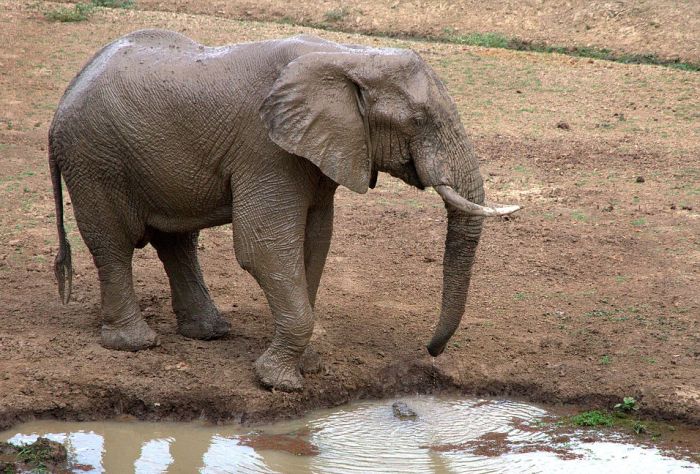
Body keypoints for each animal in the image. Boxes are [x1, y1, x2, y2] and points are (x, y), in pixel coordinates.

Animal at [49, 30, 516, 392]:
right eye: (418, 120)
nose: (431, 351)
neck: (350, 56)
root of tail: (66, 95)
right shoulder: (266, 148)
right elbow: (264, 248)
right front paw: (281, 382)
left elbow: (316, 241)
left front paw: (306, 366)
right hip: (95, 159)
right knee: (113, 243)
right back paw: (136, 344)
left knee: (175, 242)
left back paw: (209, 333)